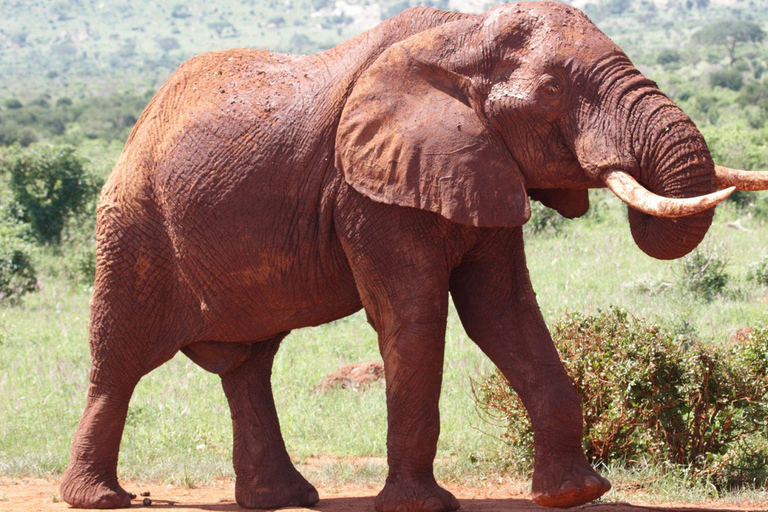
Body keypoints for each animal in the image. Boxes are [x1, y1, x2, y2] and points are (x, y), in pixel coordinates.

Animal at [60, 2, 768, 510]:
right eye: (551, 93)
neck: (463, 34)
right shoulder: (366, 187)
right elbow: (415, 315)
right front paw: (420, 506)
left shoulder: (480, 166)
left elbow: (502, 313)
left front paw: (576, 494)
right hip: (133, 223)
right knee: (120, 357)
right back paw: (102, 500)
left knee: (249, 365)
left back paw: (282, 499)